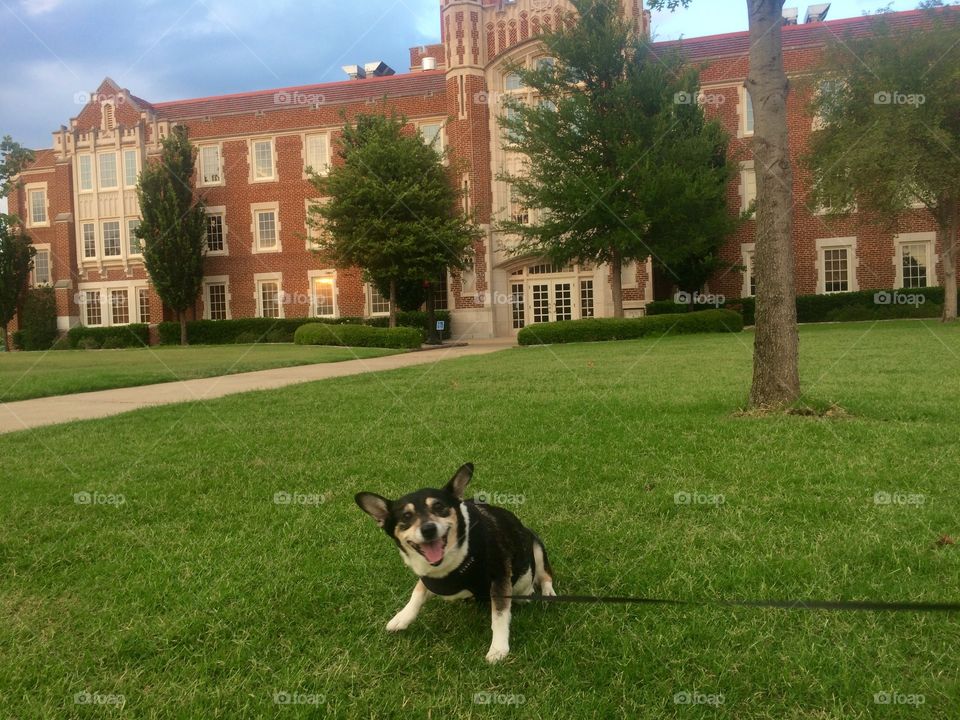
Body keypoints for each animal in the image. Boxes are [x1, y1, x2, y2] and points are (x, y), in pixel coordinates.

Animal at [356, 464, 556, 660]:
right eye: (406, 516)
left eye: (439, 506)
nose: (428, 529)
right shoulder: (430, 578)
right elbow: (417, 592)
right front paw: (402, 616)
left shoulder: (500, 576)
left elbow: (499, 614)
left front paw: (498, 648)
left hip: (536, 546)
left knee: (545, 575)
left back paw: (548, 593)